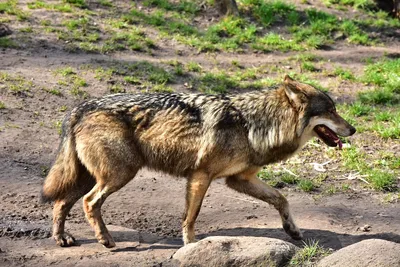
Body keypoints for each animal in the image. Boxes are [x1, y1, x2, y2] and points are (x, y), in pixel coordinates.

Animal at [41, 74, 356, 248]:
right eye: (331, 111)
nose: (353, 129)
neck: (253, 123)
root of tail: (81, 106)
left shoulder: (240, 179)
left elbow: (281, 199)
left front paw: (292, 230)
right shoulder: (200, 176)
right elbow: (190, 216)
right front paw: (190, 245)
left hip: (89, 177)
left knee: (60, 202)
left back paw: (62, 239)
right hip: (119, 175)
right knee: (89, 203)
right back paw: (105, 240)